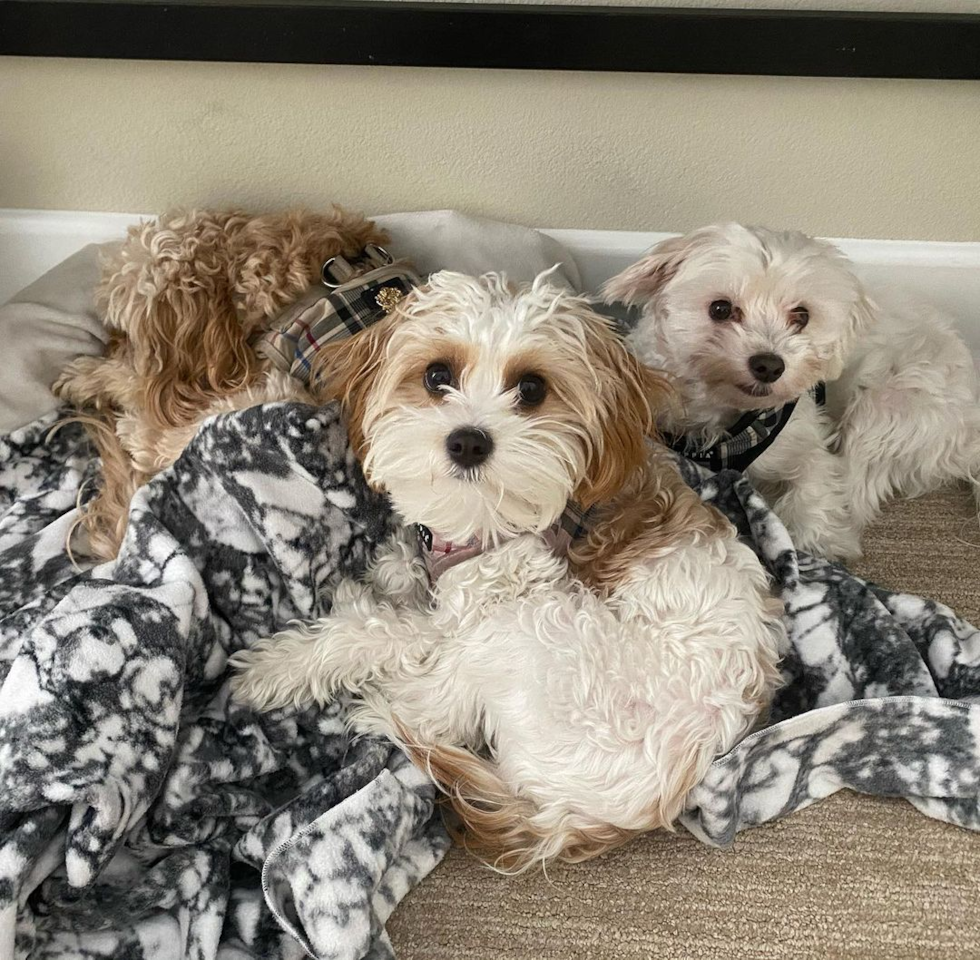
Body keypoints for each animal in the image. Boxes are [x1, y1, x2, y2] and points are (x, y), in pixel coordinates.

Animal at [228, 270, 780, 872]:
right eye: (437, 375)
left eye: (532, 388)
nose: (468, 440)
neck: (485, 517)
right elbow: (408, 572)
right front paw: (396, 568)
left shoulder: (469, 611)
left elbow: (374, 633)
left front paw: (271, 671)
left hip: (523, 628)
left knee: (433, 714)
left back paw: (379, 709)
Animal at [604, 223, 980, 564]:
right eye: (720, 309)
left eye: (801, 315)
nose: (769, 365)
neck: (727, 420)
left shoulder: (808, 444)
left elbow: (815, 485)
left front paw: (815, 544)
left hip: (886, 410)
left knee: (856, 484)